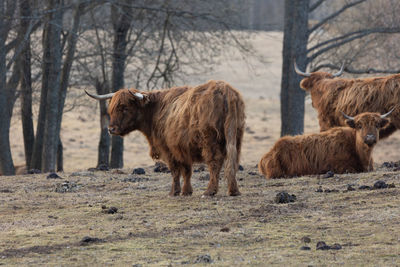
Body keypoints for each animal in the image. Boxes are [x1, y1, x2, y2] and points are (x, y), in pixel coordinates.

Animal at [86, 80, 245, 197]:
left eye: (125, 107)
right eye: (112, 108)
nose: (111, 129)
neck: (154, 111)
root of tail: (225, 89)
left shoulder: (168, 149)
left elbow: (175, 170)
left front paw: (174, 192)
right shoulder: (182, 148)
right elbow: (187, 171)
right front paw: (186, 191)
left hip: (210, 140)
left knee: (214, 162)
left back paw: (209, 191)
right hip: (235, 137)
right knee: (233, 161)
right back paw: (234, 190)